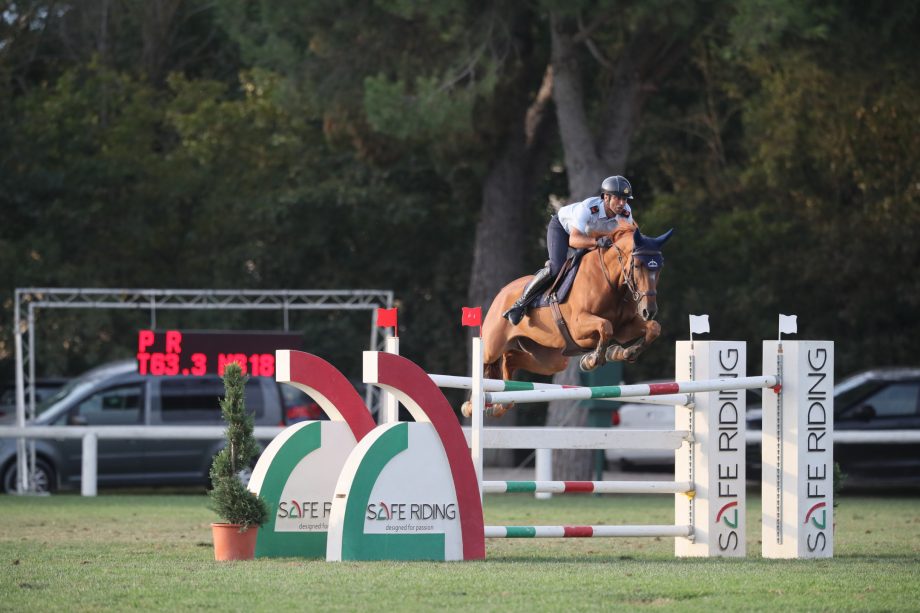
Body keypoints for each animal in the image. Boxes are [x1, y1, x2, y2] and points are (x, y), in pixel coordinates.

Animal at [464, 225, 672, 416]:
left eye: (660, 267)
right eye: (637, 266)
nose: (648, 311)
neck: (610, 281)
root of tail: (501, 293)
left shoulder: (624, 328)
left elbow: (653, 328)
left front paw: (625, 352)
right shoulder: (578, 327)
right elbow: (605, 326)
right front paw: (591, 360)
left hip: (549, 359)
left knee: (510, 358)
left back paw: (502, 405)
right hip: (492, 346)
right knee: (486, 362)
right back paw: (470, 406)